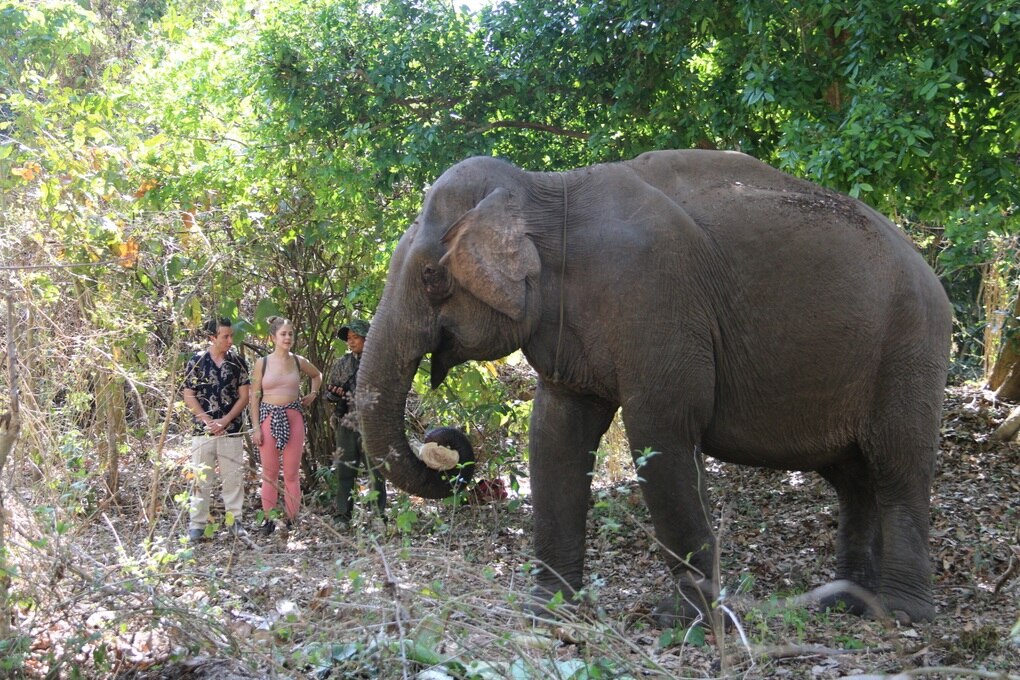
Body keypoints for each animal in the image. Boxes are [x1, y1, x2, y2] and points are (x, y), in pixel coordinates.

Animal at [354, 148, 950, 628]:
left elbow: (659, 433)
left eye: (431, 277)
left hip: (910, 350)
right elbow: (555, 433)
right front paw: (547, 610)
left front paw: (683, 619)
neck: (545, 188)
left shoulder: (655, 296)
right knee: (852, 477)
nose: (445, 445)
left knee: (897, 465)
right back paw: (846, 604)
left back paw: (901, 614)